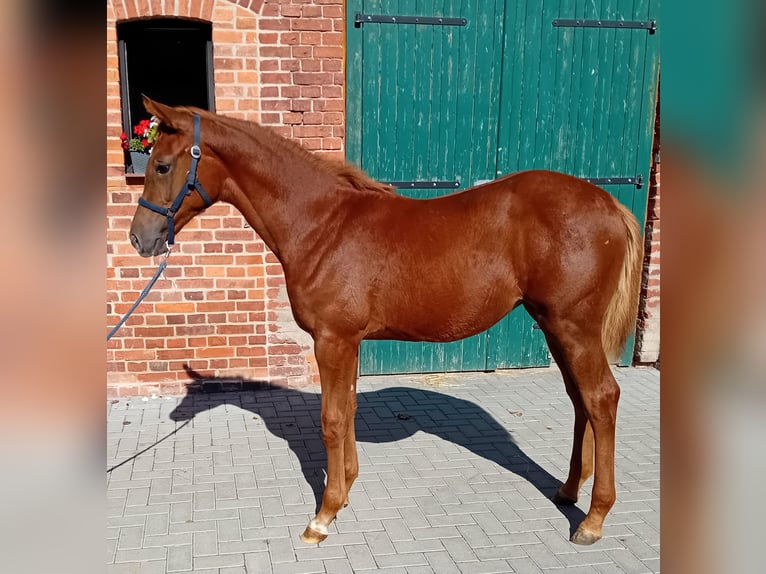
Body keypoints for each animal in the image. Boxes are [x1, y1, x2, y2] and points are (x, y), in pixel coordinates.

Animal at [127, 97, 643, 546]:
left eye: (163, 166)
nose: (139, 239)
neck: (322, 225)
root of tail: (608, 204)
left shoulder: (332, 341)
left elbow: (332, 418)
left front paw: (323, 515)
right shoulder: (350, 341)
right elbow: (350, 410)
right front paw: (346, 493)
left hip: (574, 327)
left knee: (602, 399)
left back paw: (593, 519)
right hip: (555, 326)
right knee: (580, 402)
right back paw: (568, 490)